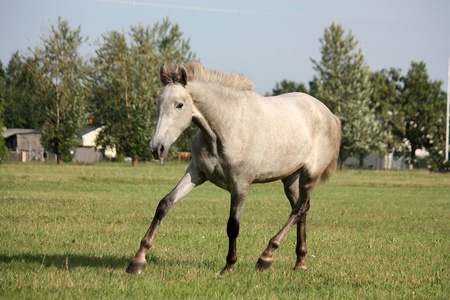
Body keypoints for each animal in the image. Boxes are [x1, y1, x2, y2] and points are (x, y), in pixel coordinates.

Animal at [125, 61, 340, 274]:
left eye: (180, 104)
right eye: (157, 103)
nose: (157, 148)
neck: (225, 129)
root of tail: (330, 115)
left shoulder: (241, 185)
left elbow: (233, 225)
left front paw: (229, 265)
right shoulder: (196, 173)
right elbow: (164, 204)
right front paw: (138, 260)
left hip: (310, 175)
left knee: (299, 210)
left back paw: (266, 256)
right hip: (290, 178)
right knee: (300, 209)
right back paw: (299, 261)